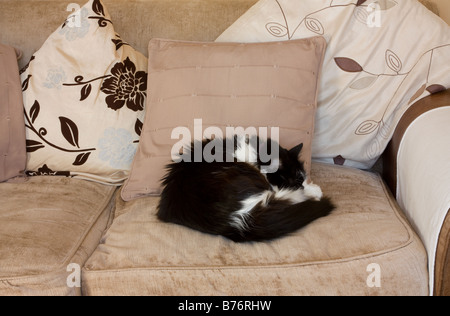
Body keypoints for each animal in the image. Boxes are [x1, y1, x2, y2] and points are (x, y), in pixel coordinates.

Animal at [158, 136, 334, 242]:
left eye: (302, 179)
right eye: (296, 182)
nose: (302, 185)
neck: (255, 153)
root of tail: (235, 223)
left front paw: (312, 188)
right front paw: (313, 191)